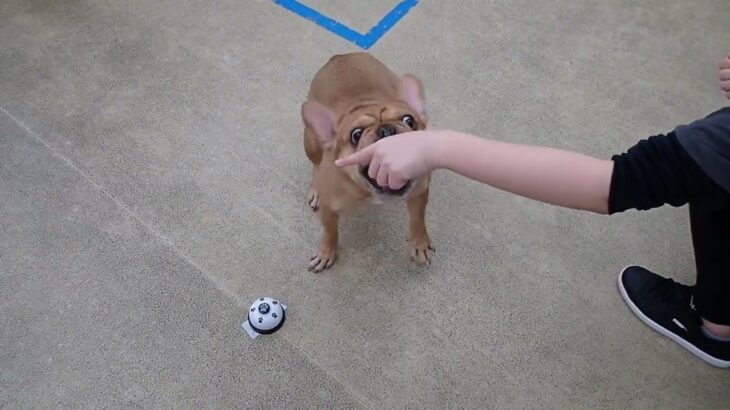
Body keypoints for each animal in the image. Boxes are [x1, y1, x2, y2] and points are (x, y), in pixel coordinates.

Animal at [300, 53, 432, 272]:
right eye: (356, 134)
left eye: (409, 120)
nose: (386, 130)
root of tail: (339, 57)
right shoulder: (329, 208)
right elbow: (330, 231)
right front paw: (327, 252)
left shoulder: (419, 190)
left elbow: (417, 219)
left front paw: (419, 244)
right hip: (311, 142)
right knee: (316, 163)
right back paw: (315, 189)